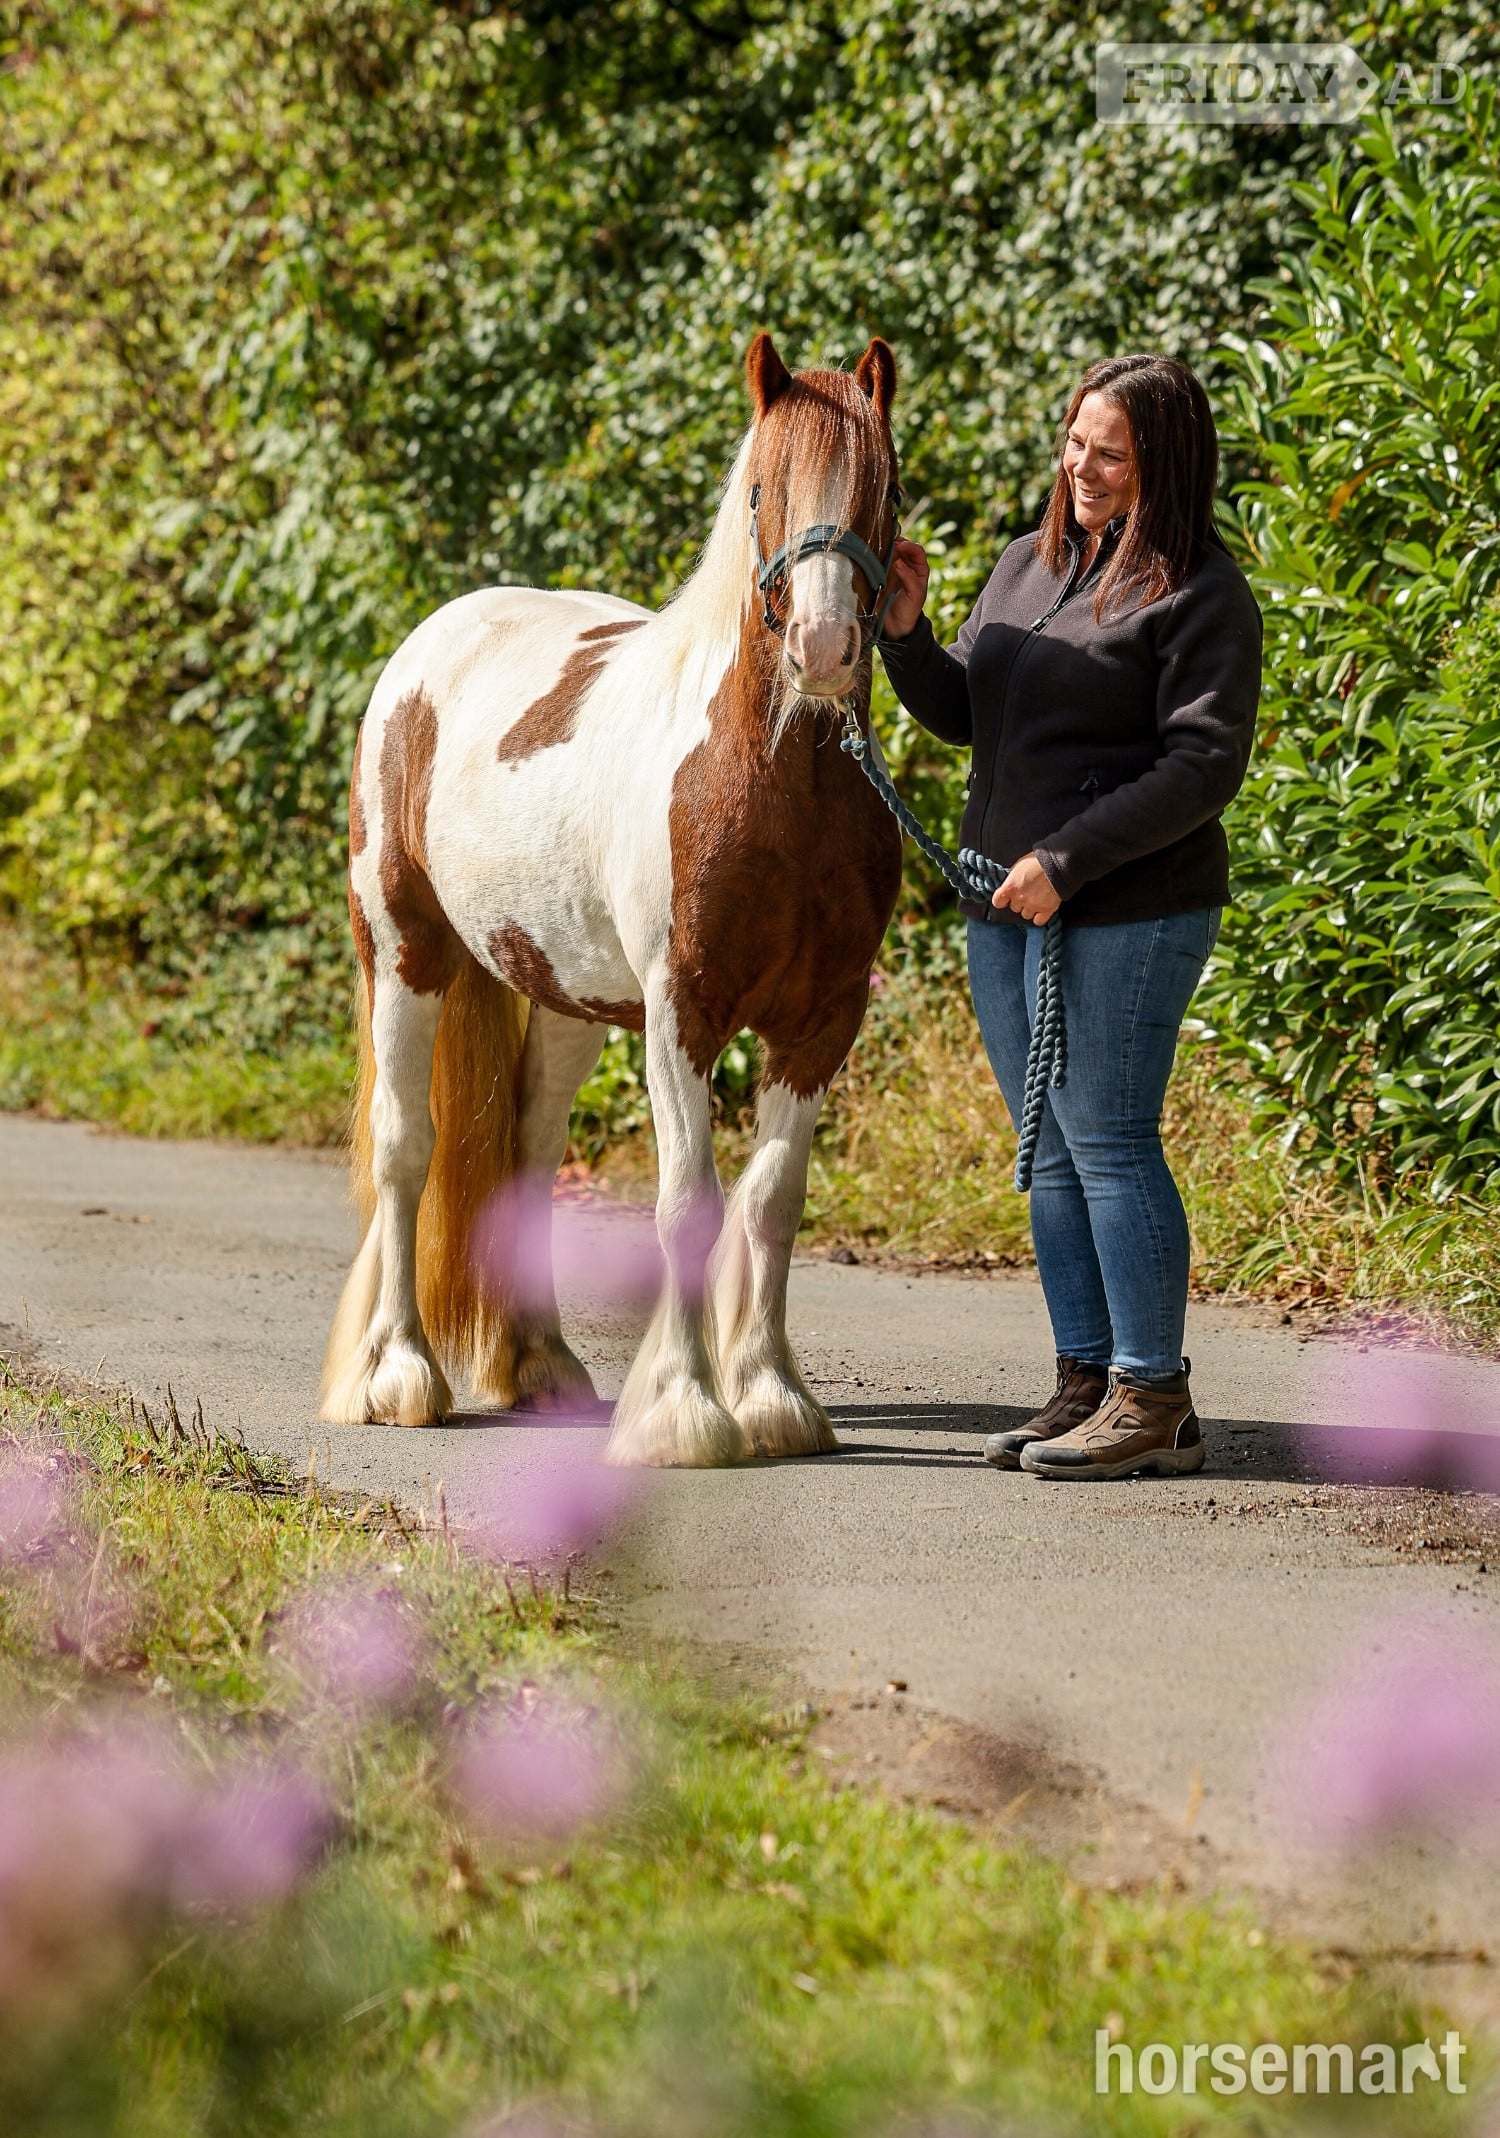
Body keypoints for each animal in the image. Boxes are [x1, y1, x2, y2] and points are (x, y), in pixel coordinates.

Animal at [319, 332, 904, 1466]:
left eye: (886, 489)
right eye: (761, 490)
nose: (822, 651)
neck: (778, 782)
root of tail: (429, 646)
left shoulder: (820, 1023)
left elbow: (774, 1202)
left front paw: (771, 1397)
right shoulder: (684, 1012)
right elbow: (687, 1203)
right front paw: (685, 1410)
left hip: (566, 1000)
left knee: (530, 1156)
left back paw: (542, 1365)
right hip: (405, 953)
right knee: (407, 1150)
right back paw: (400, 1374)